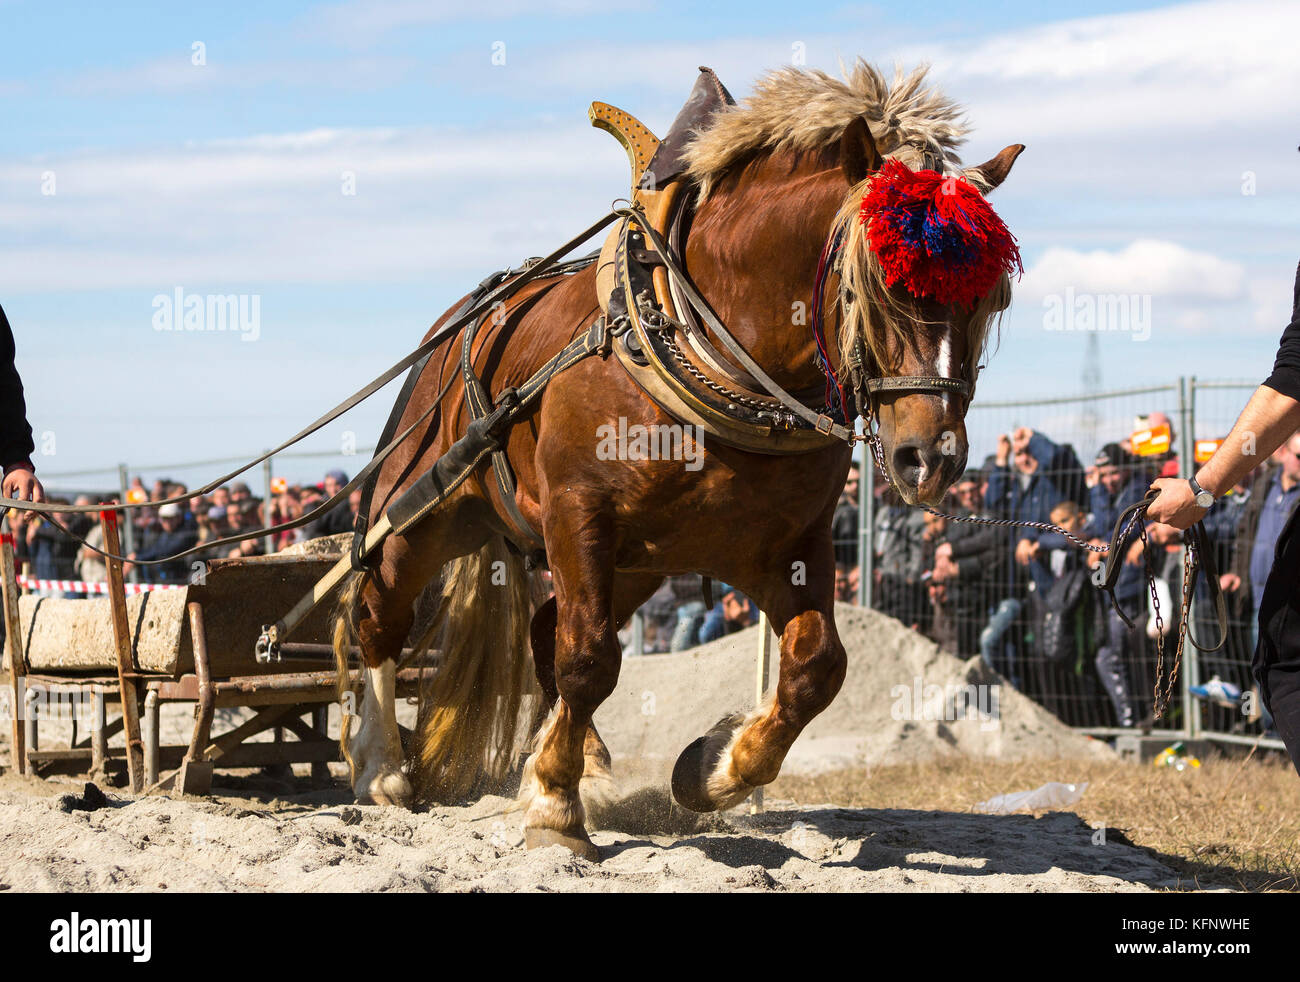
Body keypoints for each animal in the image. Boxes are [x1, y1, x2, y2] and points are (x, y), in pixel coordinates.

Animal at [332, 61, 1024, 860]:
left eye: (990, 298)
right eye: (882, 281)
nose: (929, 458)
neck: (709, 347)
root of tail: (457, 328)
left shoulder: (788, 543)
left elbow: (818, 667)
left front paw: (715, 769)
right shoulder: (578, 515)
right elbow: (589, 660)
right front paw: (555, 808)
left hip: (637, 566)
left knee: (542, 632)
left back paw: (587, 763)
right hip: (423, 514)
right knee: (381, 618)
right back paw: (381, 769)